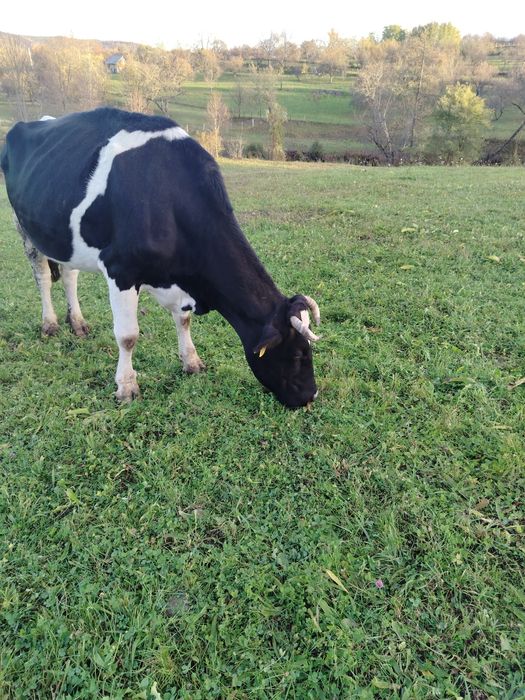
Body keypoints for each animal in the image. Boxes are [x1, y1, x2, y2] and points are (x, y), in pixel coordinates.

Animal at [1, 108, 321, 408]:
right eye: (297, 355)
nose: (311, 395)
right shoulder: (121, 270)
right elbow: (127, 335)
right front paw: (126, 387)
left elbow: (184, 321)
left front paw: (191, 362)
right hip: (24, 228)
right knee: (43, 276)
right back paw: (50, 324)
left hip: (63, 238)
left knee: (69, 275)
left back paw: (77, 323)